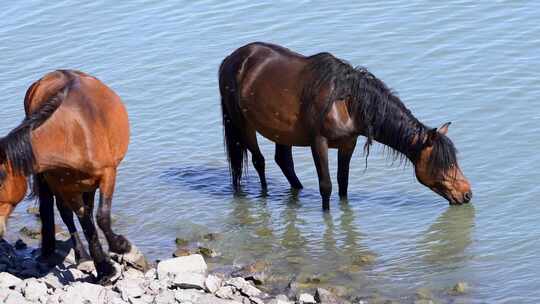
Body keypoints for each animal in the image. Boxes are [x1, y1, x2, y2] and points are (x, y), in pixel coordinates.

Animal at [0, 70, 130, 282]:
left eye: (1, 179)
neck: (72, 135)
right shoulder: (66, 188)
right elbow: (84, 221)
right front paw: (104, 269)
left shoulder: (108, 173)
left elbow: (101, 216)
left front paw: (120, 246)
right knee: (66, 213)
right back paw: (80, 255)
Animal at [219, 41, 472, 210]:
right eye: (445, 163)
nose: (467, 194)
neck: (347, 103)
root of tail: (231, 59)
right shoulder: (318, 143)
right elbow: (326, 186)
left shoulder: (348, 143)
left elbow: (343, 183)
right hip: (242, 123)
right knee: (258, 161)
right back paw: (263, 195)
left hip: (282, 132)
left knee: (283, 161)